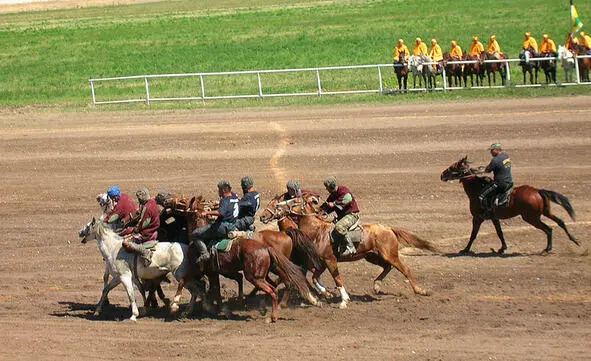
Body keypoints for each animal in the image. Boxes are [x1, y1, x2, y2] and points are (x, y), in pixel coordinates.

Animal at [262, 195, 438, 306]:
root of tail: (389, 228)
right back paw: (376, 286)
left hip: (390, 255)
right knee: (387, 267)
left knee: (404, 269)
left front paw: (344, 300)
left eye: (294, 201)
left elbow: (337, 279)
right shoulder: (321, 262)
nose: (264, 216)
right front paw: (327, 294)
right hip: (372, 256)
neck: (318, 231)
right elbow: (314, 278)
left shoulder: (330, 261)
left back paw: (420, 290)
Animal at [442, 155, 580, 253]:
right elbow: (500, 233)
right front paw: (502, 248)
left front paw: (465, 249)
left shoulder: (477, 218)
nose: (442, 174)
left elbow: (473, 235)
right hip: (544, 212)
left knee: (548, 228)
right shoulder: (494, 218)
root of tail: (537, 191)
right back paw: (573, 240)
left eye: (453, 167)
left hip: (531, 218)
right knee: (559, 222)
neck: (477, 189)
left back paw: (548, 249)